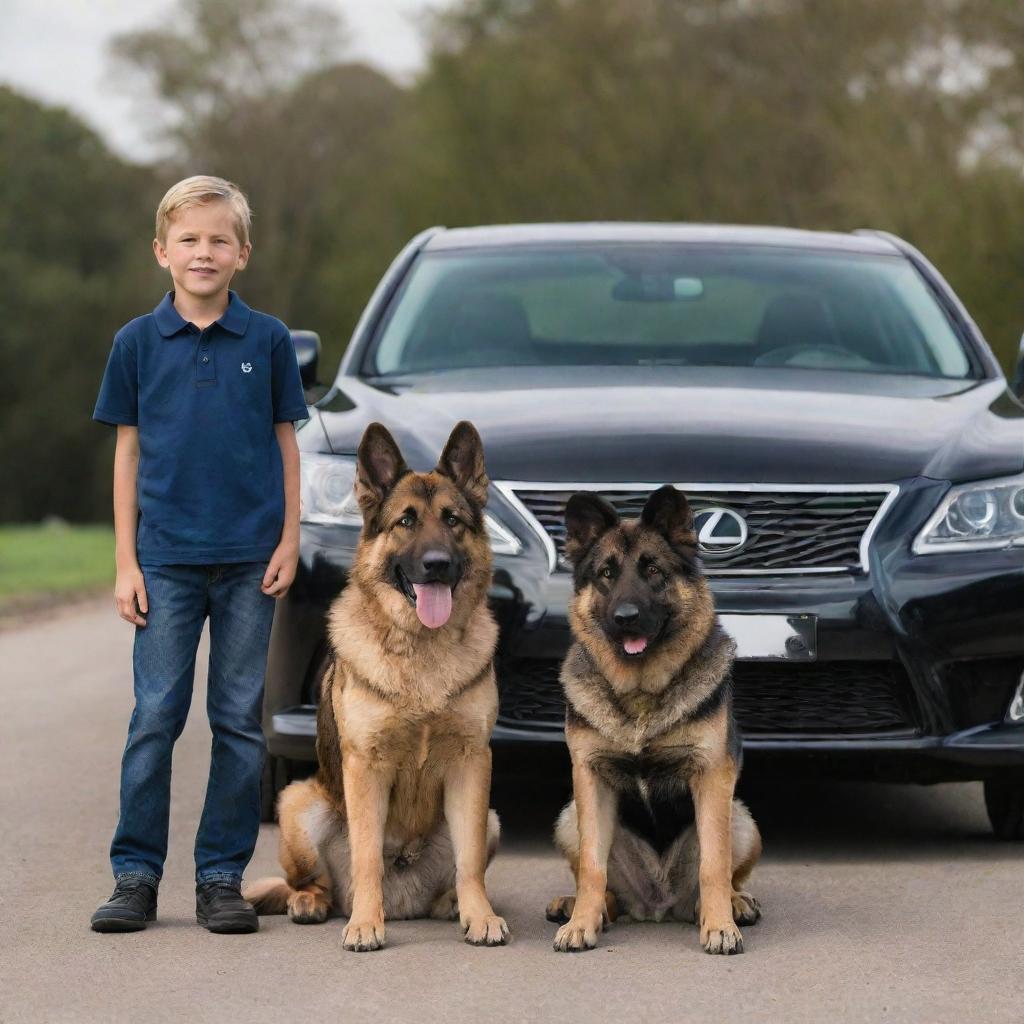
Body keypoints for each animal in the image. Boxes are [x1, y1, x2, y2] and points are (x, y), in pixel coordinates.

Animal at [243, 419, 507, 946]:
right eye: (405, 521)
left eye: (452, 520)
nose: (437, 563)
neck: (422, 649)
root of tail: (405, 902)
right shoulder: (365, 767)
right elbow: (366, 856)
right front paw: (366, 923)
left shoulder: (472, 764)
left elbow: (469, 862)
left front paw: (480, 916)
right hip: (299, 803)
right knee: (311, 884)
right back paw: (314, 903)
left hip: (489, 817)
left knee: (457, 870)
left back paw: (452, 904)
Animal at [548, 485, 757, 950]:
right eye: (607, 573)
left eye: (653, 570)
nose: (625, 618)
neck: (641, 695)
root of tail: (657, 903)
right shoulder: (590, 780)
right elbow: (591, 867)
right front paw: (582, 923)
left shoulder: (711, 776)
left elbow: (714, 865)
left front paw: (720, 925)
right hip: (569, 817)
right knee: (598, 881)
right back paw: (581, 907)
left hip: (741, 819)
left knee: (726, 873)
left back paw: (732, 904)